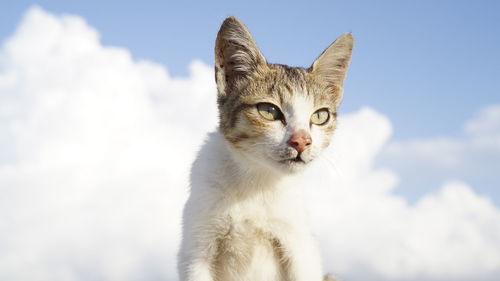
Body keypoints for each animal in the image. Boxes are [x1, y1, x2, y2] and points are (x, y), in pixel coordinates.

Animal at [178, 15, 354, 280]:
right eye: (269, 111)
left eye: (320, 116)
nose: (302, 140)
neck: (256, 181)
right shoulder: (196, 249)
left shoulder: (300, 247)